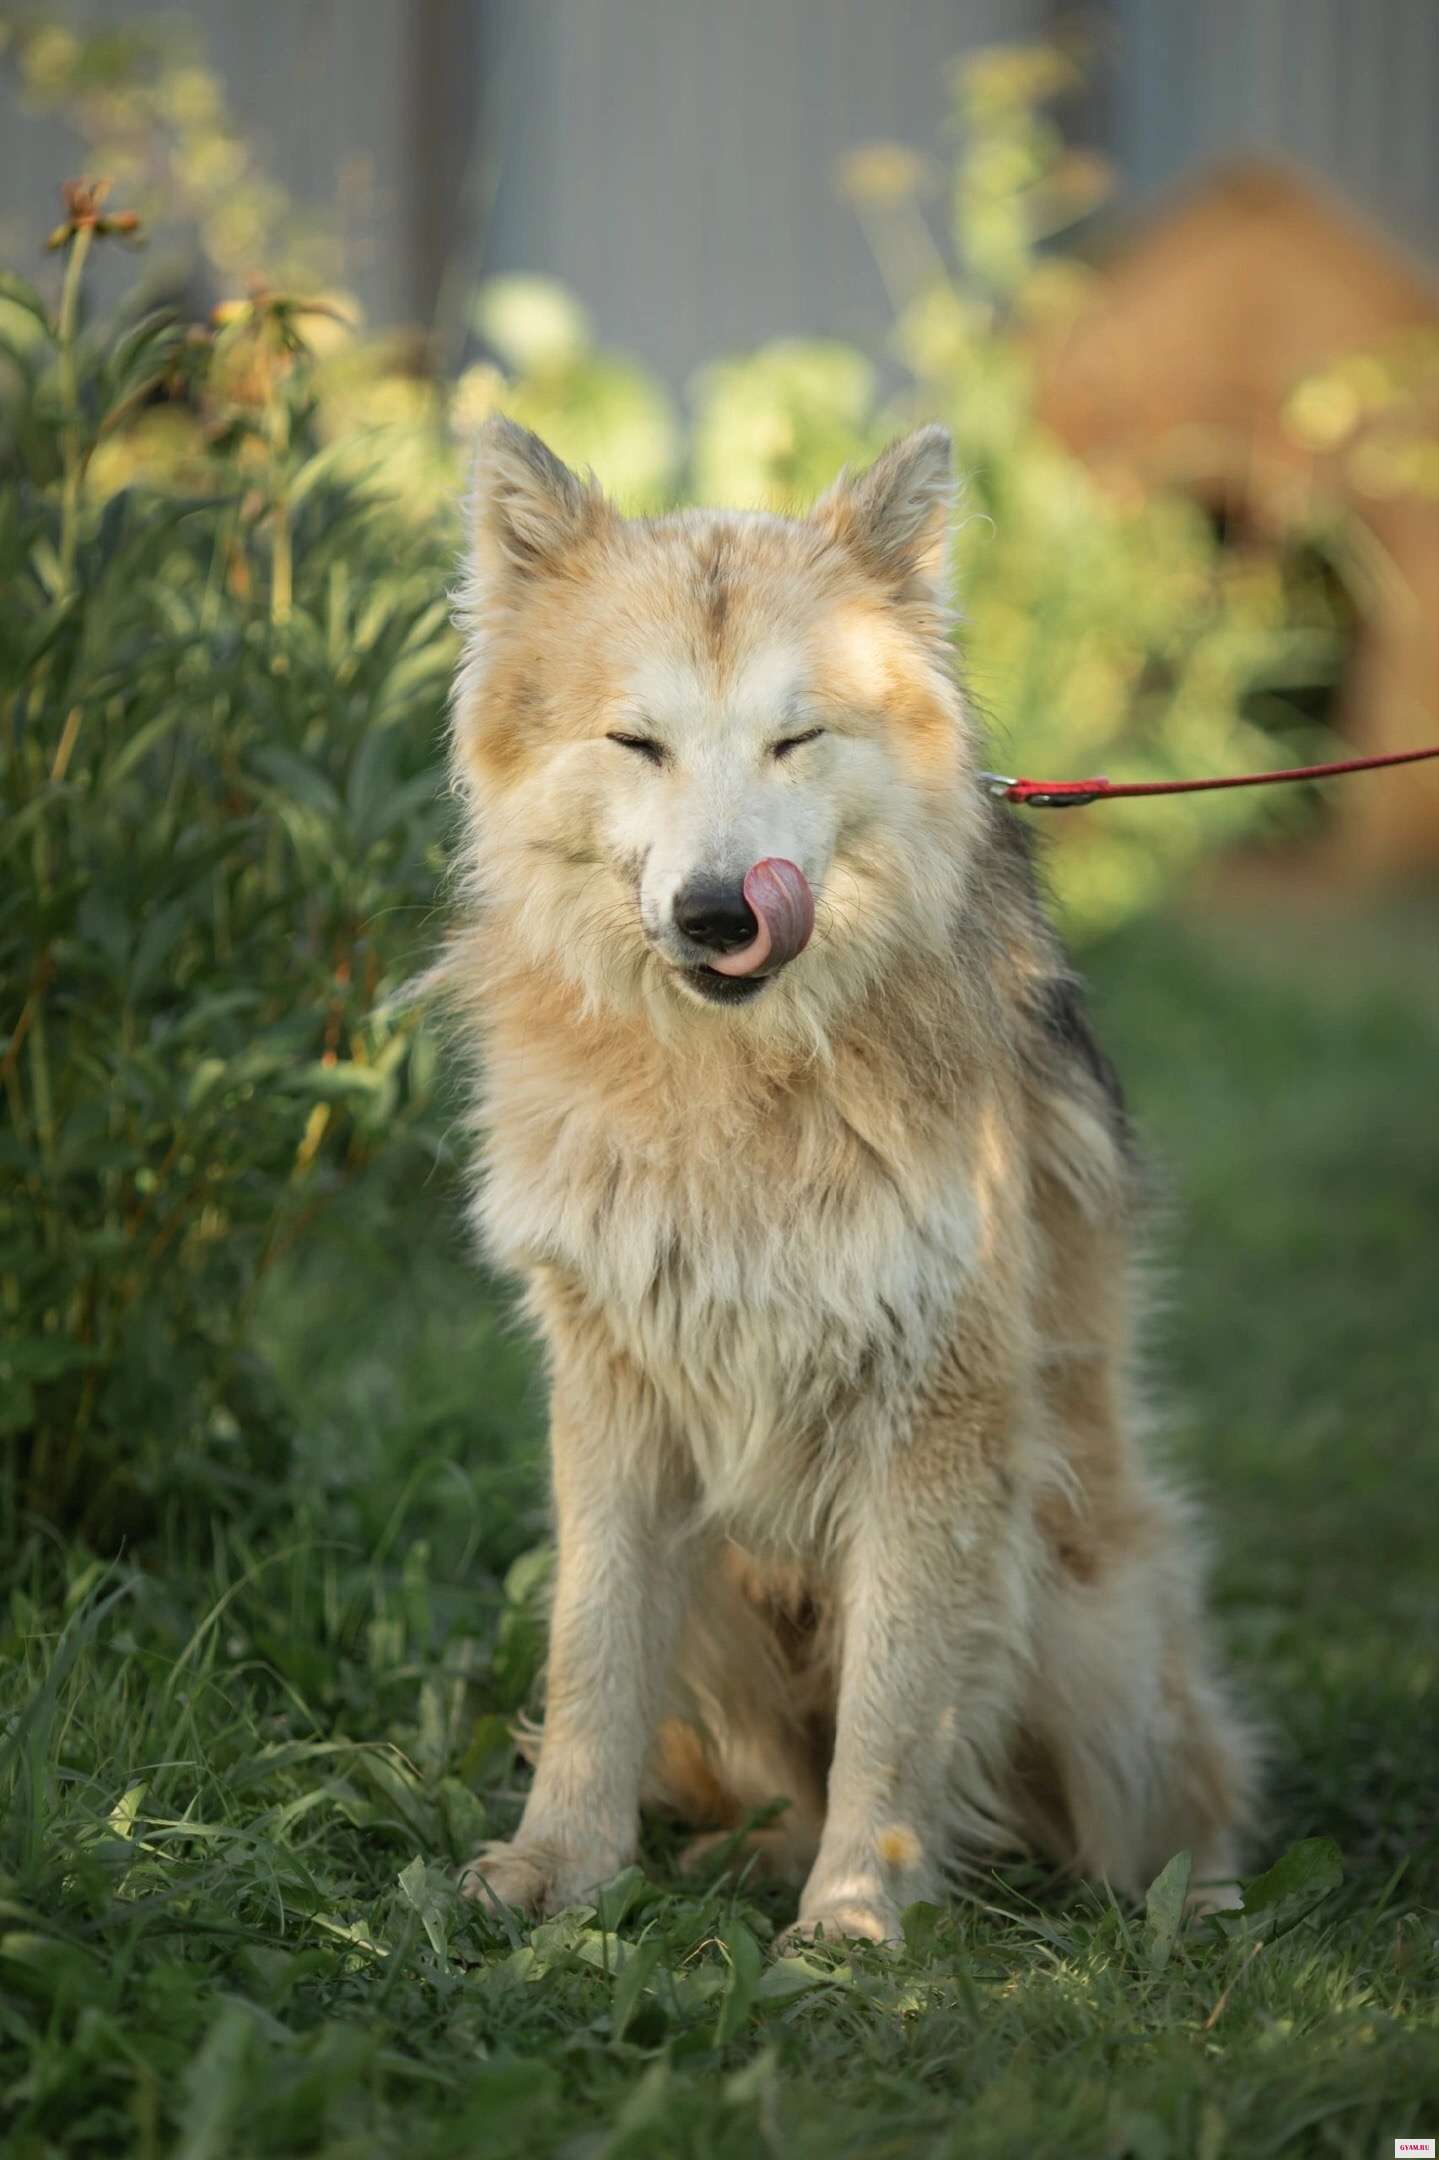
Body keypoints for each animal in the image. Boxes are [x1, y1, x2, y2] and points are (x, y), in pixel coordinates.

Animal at [444, 416, 1256, 1945]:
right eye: (634, 742)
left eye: (795, 736)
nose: (717, 911)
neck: (740, 1081)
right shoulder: (612, 1402)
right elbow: (591, 1661)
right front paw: (556, 1868)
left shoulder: (940, 1411)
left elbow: (895, 1696)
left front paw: (854, 1922)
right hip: (717, 1577)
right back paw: (743, 1854)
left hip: (1082, 1608)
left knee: (1157, 1810)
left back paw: (1158, 1904)